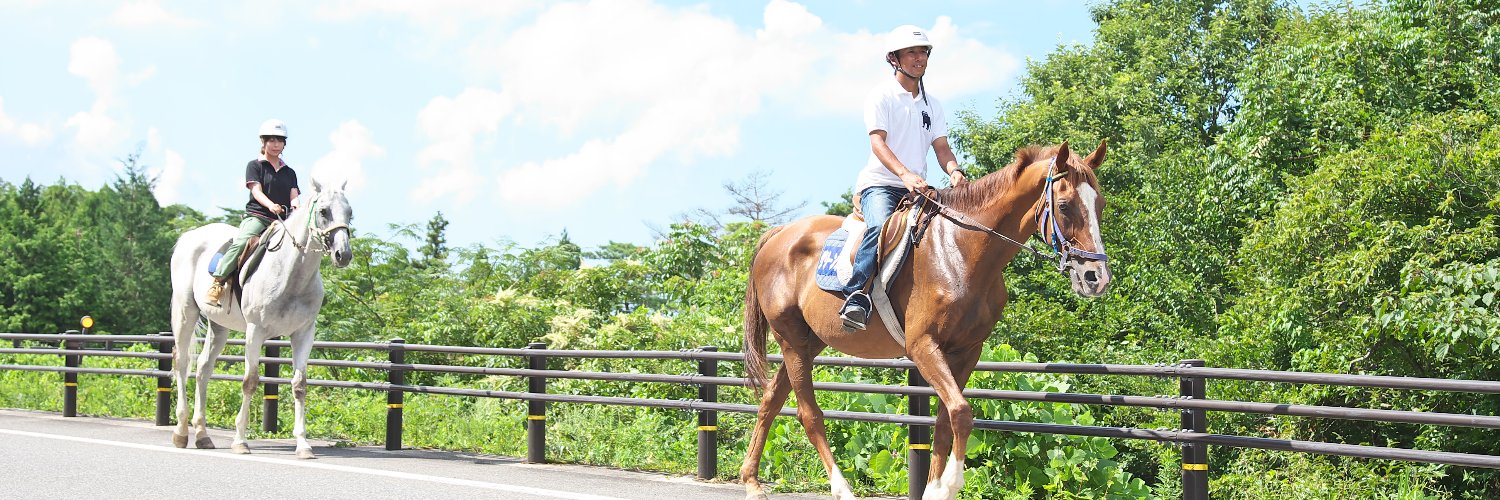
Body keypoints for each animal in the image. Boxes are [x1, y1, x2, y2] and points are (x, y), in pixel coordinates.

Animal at [167, 179, 353, 459]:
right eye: (324, 211)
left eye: (350, 213)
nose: (343, 254)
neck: (290, 273)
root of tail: (189, 236)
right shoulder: (255, 331)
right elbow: (250, 382)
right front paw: (240, 441)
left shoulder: (304, 333)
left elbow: (299, 385)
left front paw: (303, 445)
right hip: (184, 312)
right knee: (181, 363)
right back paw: (181, 432)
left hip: (218, 326)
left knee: (203, 369)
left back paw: (202, 435)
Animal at [740, 141, 1111, 500]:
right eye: (1064, 205)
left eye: (1100, 205)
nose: (1096, 278)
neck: (962, 251)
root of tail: (779, 234)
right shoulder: (922, 346)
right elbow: (961, 412)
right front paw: (948, 486)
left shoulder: (966, 351)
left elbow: (946, 418)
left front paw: (934, 487)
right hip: (791, 340)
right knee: (809, 414)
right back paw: (841, 489)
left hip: (808, 342)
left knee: (771, 400)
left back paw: (752, 482)